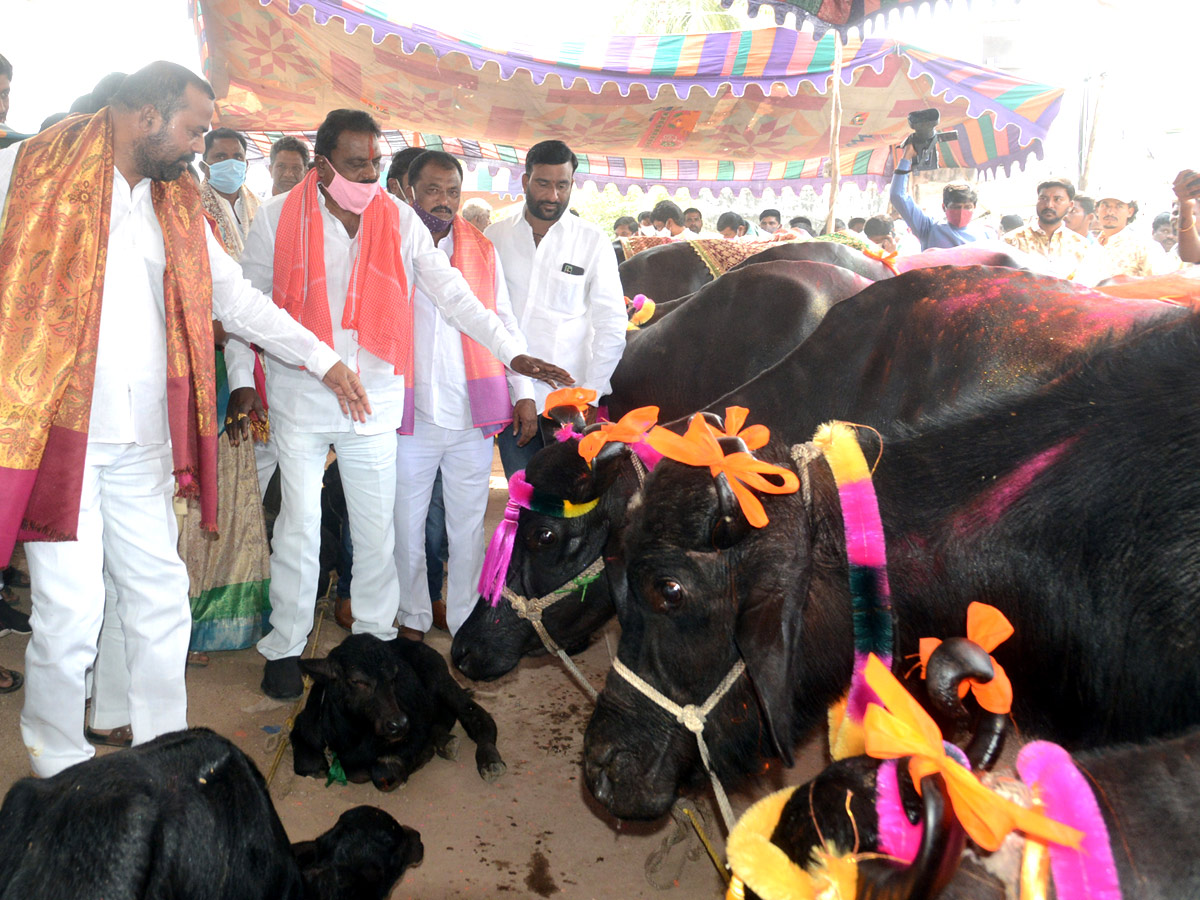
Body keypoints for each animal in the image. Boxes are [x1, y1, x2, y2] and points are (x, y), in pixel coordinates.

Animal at [297, 628, 508, 792]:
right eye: (357, 681)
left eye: (393, 678)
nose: (399, 724)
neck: (353, 737)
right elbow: (310, 766)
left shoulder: (414, 732)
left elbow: (382, 773)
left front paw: (420, 758)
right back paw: (447, 743)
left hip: (440, 677)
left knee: (476, 717)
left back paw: (490, 761)